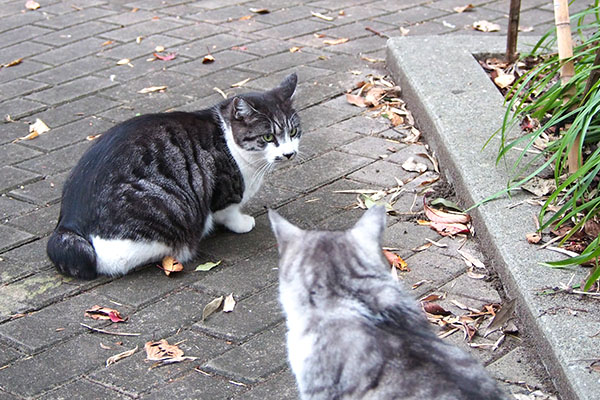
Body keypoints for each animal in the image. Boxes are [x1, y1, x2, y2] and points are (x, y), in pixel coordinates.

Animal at [47, 72, 302, 278]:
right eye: (268, 137)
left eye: (293, 132)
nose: (289, 153)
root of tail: (68, 225)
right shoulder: (225, 190)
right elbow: (227, 211)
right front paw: (241, 223)